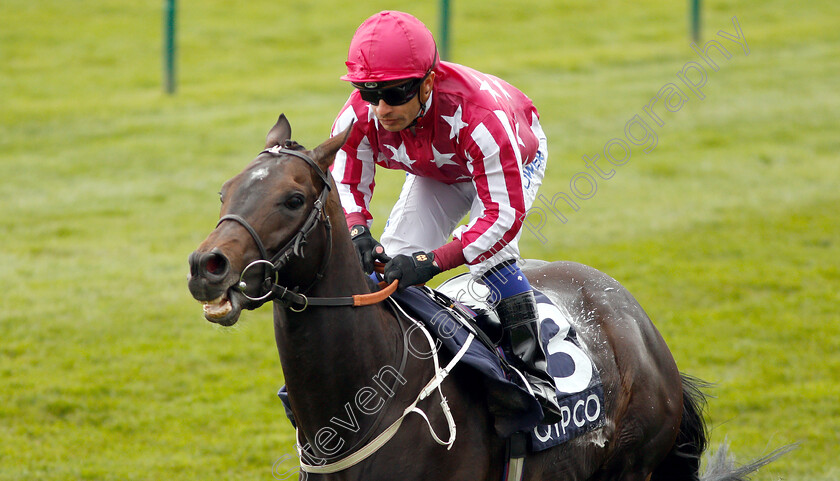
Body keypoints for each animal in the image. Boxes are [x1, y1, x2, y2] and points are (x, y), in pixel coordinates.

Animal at [187, 116, 792, 480]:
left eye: (292, 199)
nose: (206, 267)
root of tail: (637, 323)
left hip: (633, 466)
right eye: (225, 191)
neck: (369, 400)